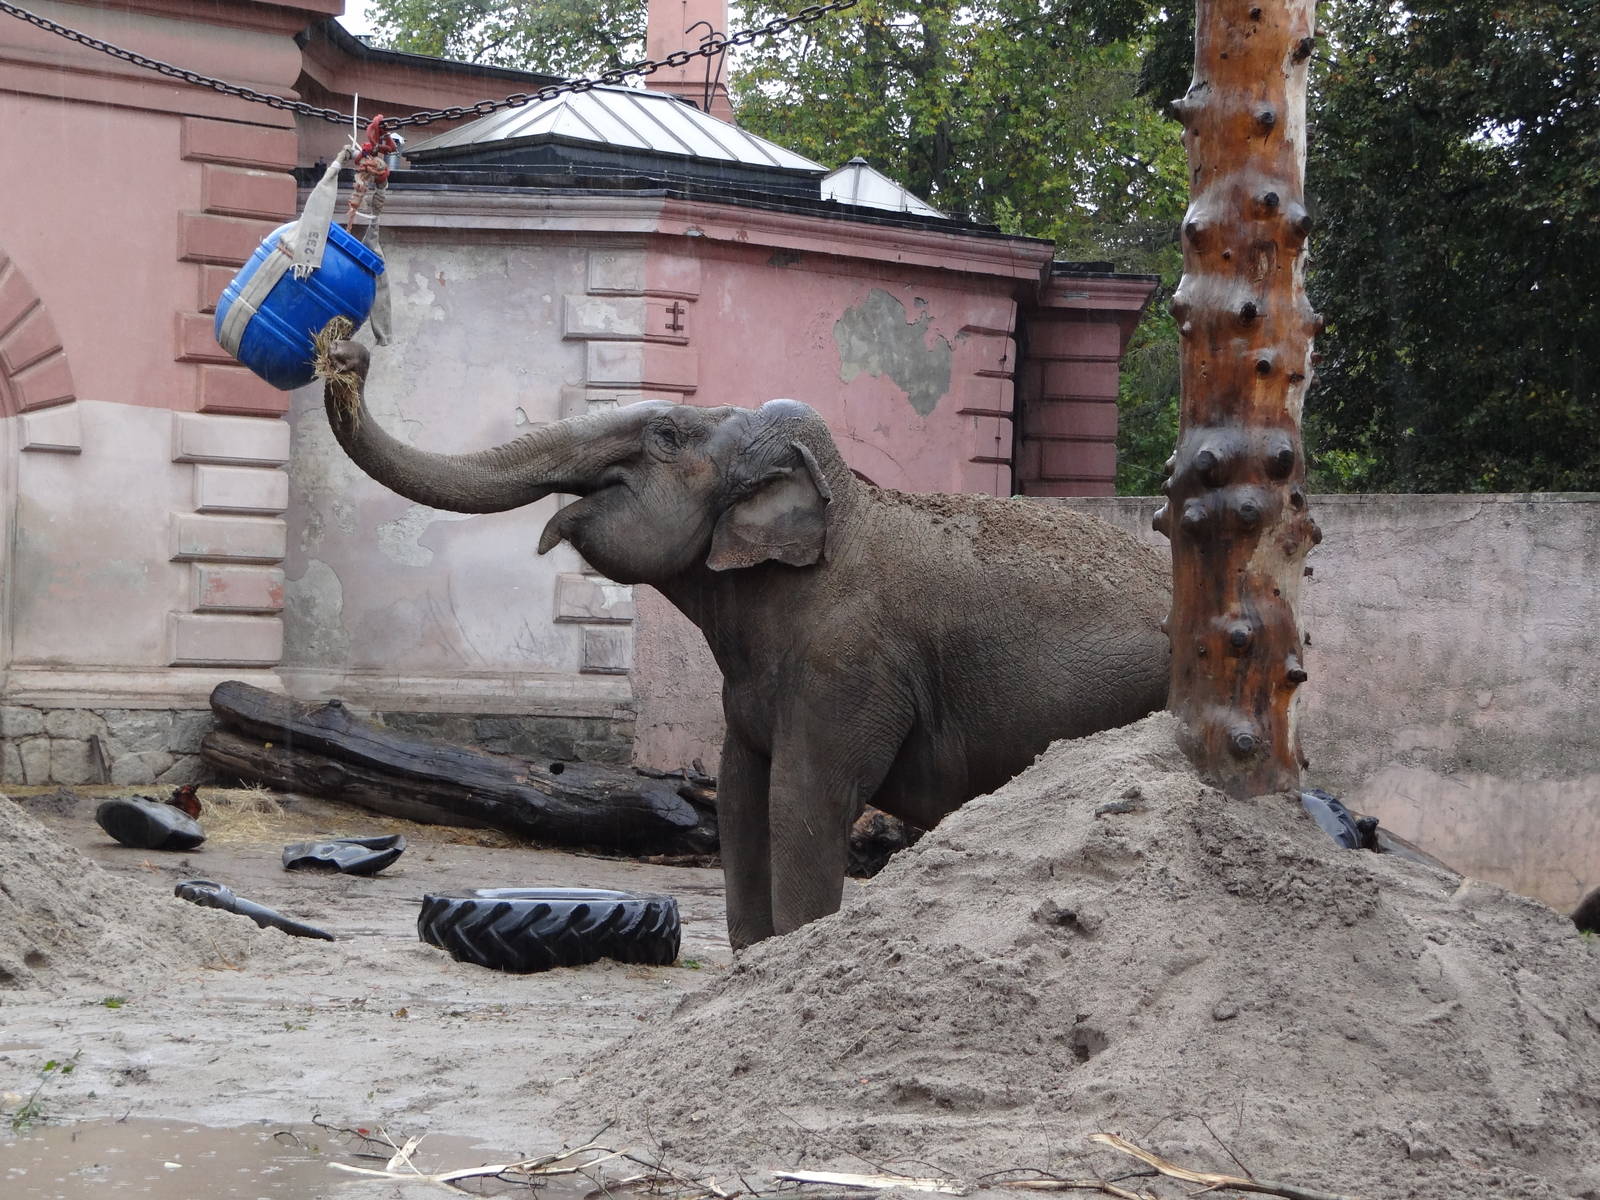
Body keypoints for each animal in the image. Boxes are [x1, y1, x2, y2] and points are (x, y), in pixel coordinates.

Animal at [320, 341, 1172, 949]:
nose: (348, 353)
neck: (843, 508)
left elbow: (804, 799)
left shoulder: (849, 664)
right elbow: (739, 798)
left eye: (665, 435)